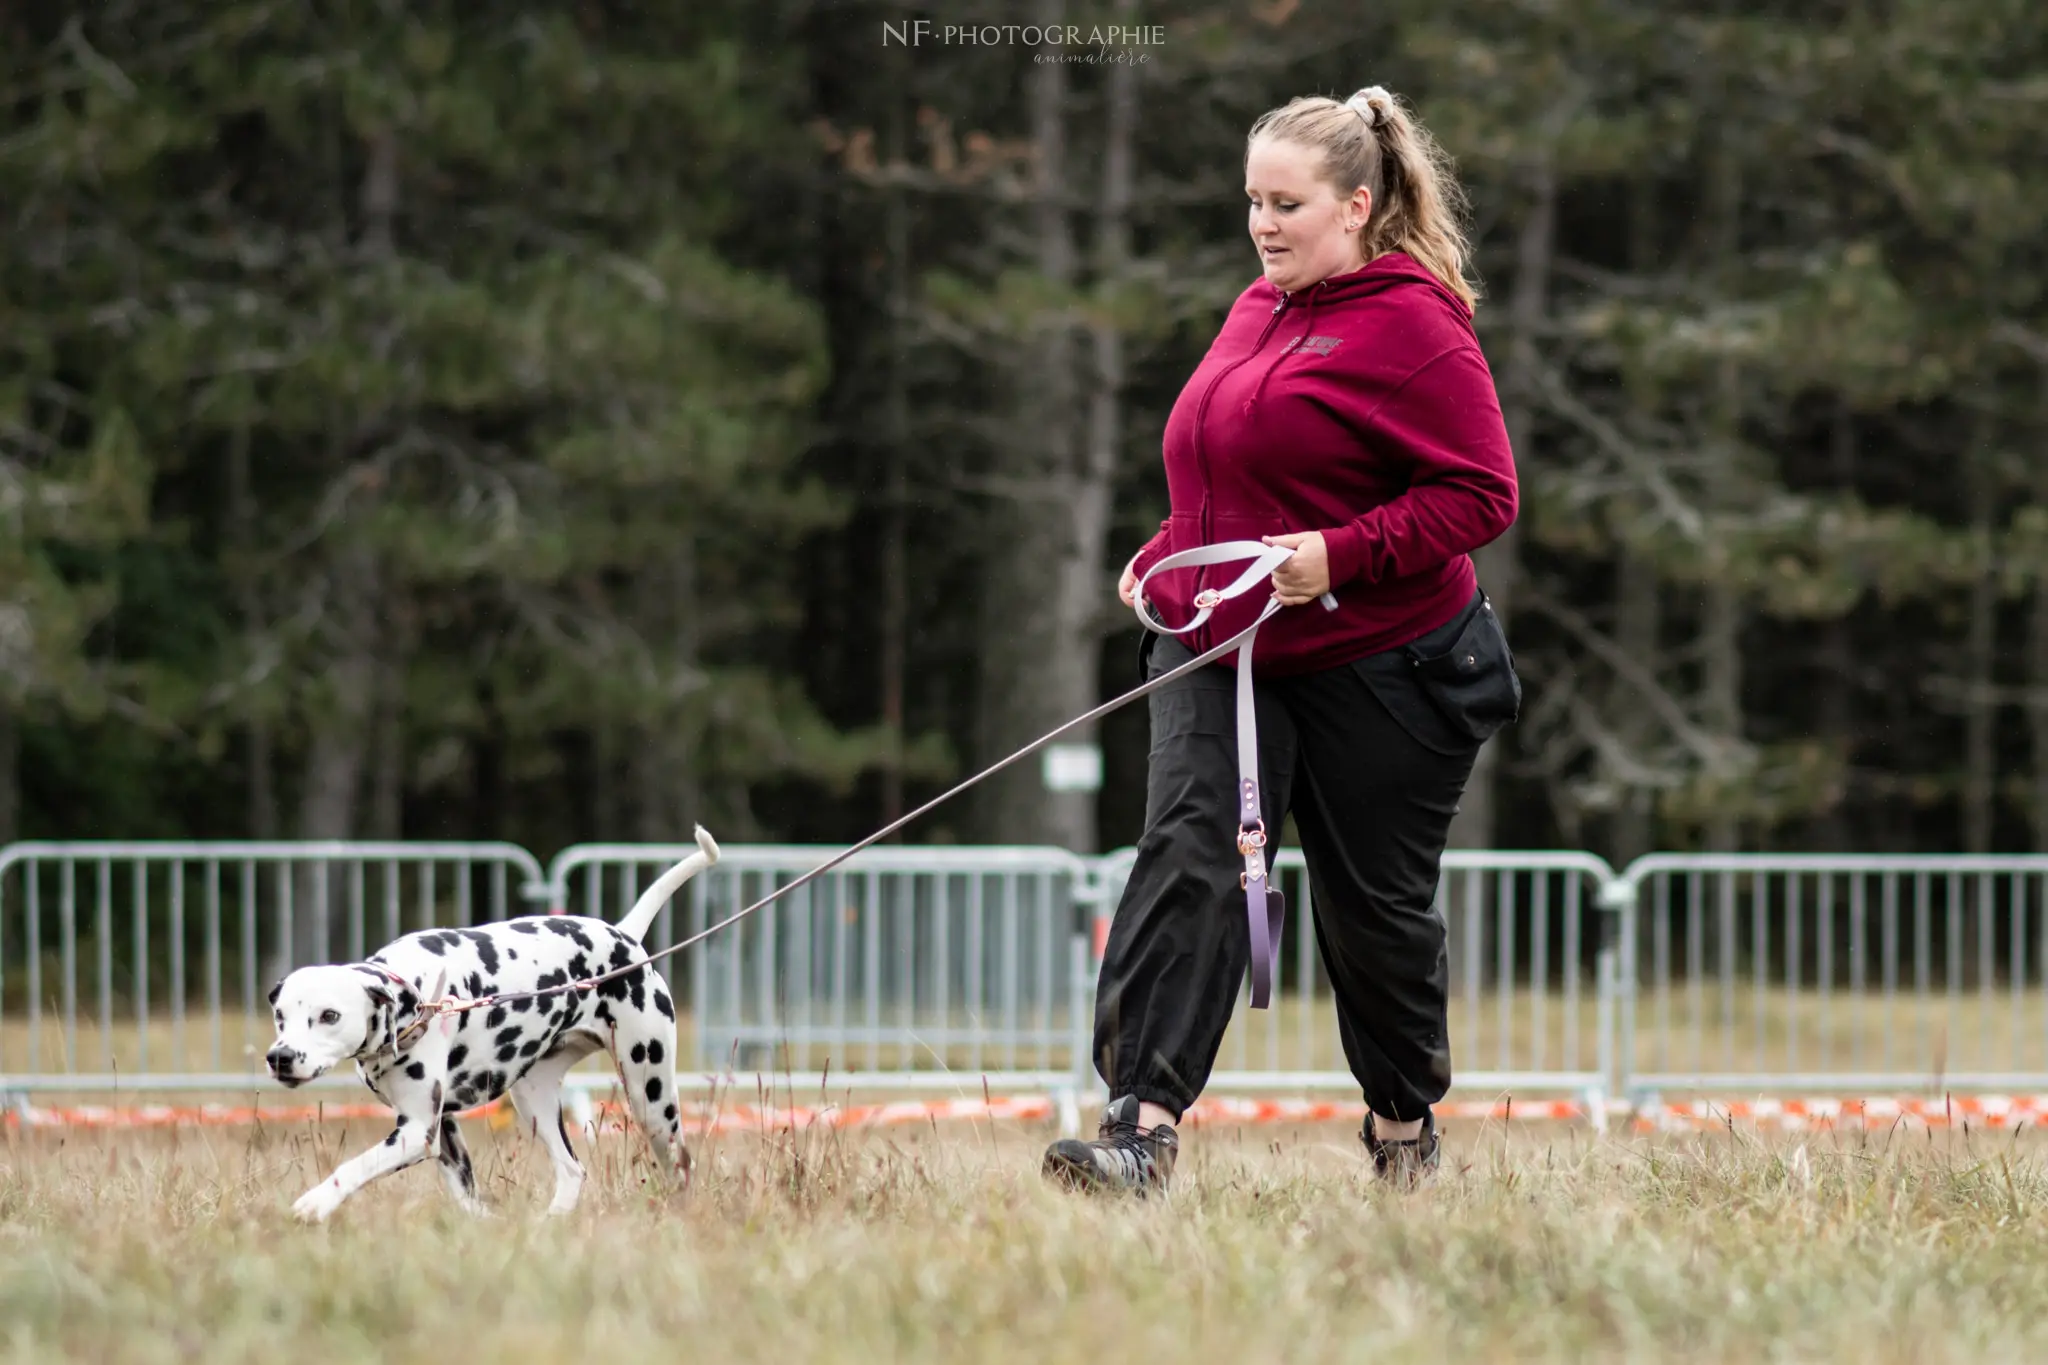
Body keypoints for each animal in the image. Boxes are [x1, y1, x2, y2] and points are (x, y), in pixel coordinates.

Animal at [268, 826, 720, 1219]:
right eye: (280, 1016)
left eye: (329, 1016)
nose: (280, 1057)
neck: (418, 997)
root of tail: (624, 937)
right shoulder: (442, 1132)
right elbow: (466, 1198)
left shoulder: (416, 1133)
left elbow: (353, 1167)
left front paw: (315, 1203)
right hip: (534, 1099)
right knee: (573, 1171)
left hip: (651, 1101)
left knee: (681, 1167)